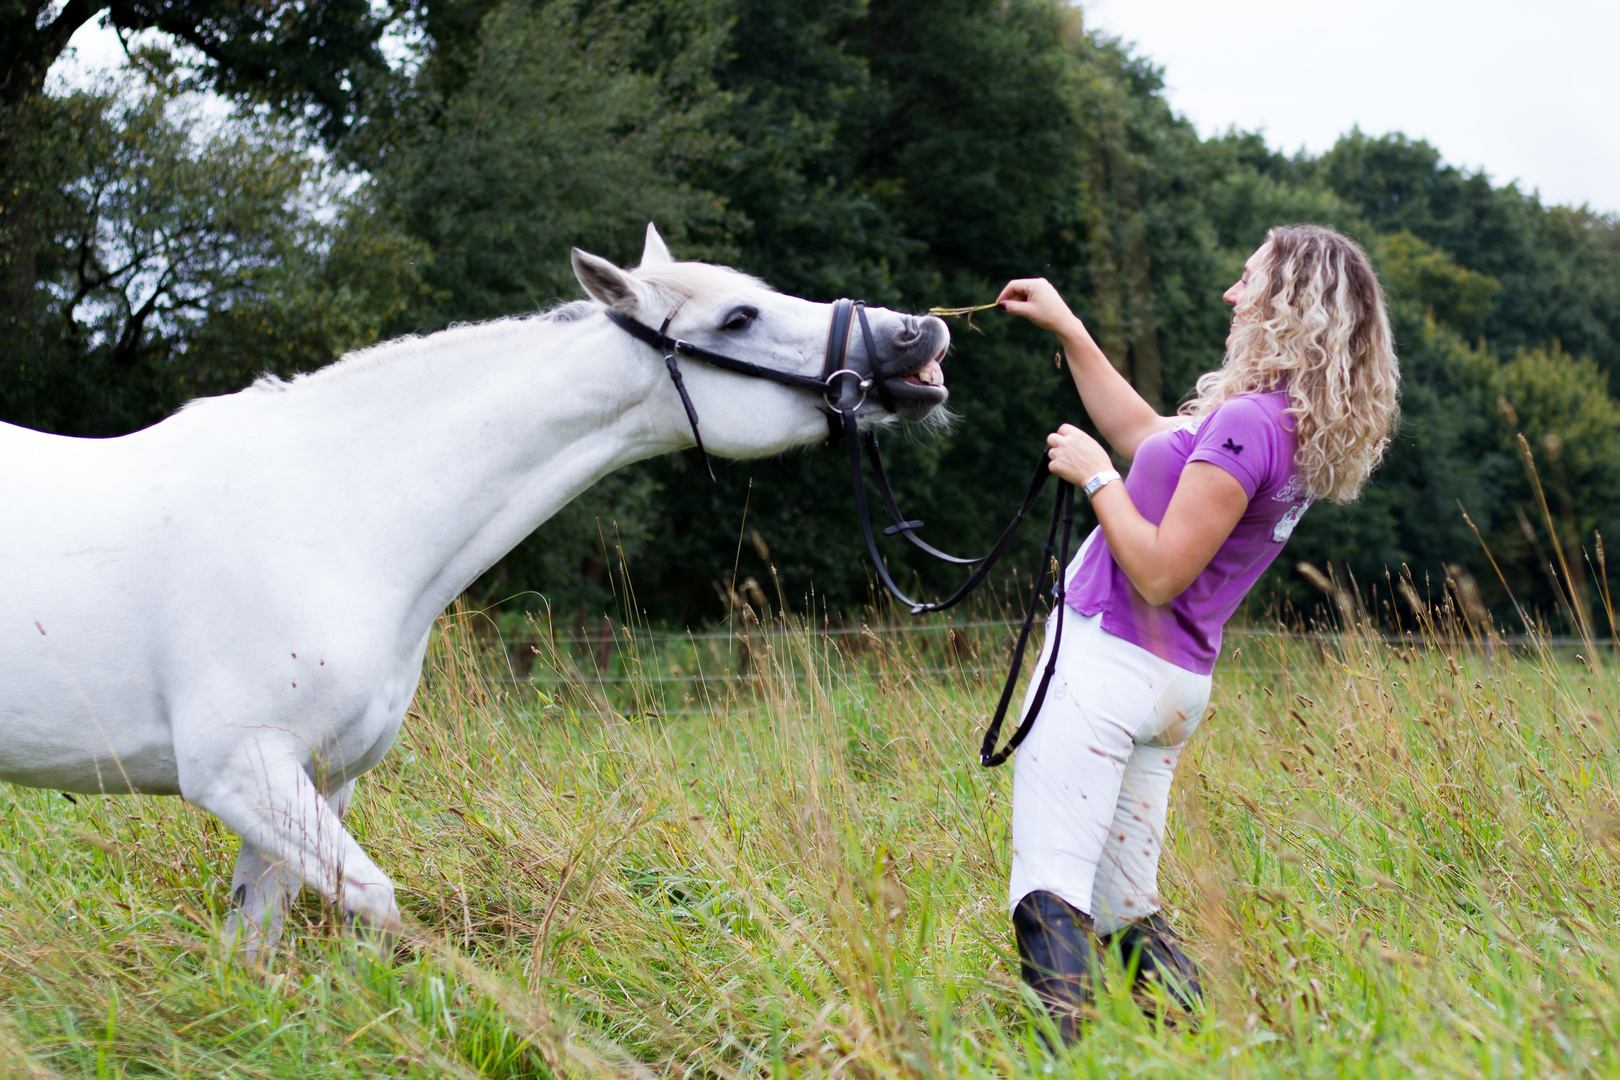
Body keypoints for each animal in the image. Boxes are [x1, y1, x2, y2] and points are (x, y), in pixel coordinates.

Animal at [0, 225, 950, 959]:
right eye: (739, 316)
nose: (920, 335)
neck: (328, 511)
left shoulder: (316, 777)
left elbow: (253, 945)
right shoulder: (243, 771)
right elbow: (373, 903)